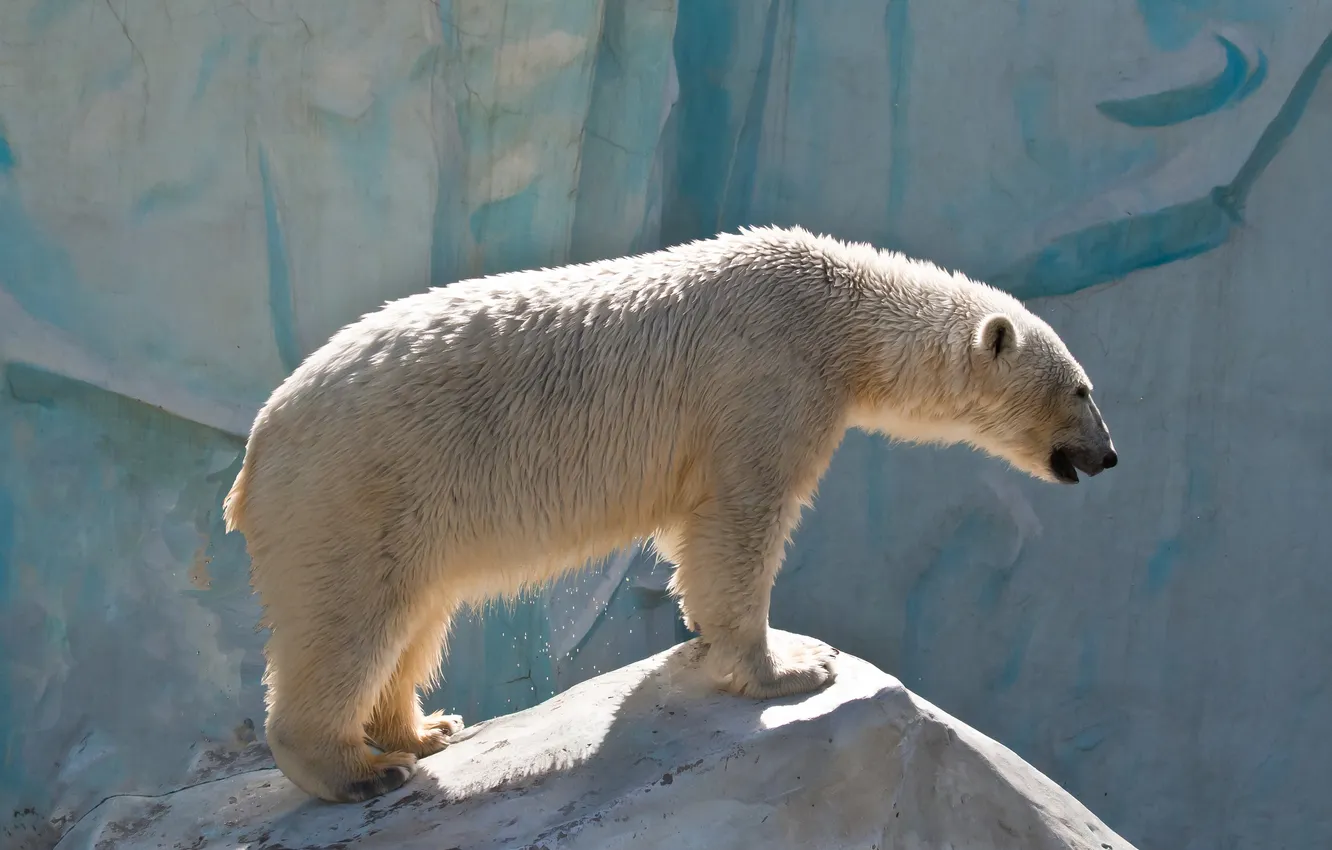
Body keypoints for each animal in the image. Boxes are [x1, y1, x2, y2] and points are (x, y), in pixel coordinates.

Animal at [223, 225, 1117, 803]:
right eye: (1081, 389)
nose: (1109, 456)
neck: (836, 314)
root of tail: (257, 447)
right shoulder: (766, 377)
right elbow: (740, 519)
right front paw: (794, 668)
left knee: (415, 616)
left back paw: (426, 728)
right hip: (356, 487)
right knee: (350, 618)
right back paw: (360, 770)